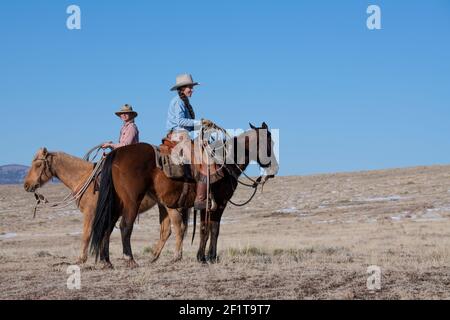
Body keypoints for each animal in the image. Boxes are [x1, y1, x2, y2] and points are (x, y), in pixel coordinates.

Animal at [24, 148, 160, 264]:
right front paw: (104, 260)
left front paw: (81, 259)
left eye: (38, 165)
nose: (26, 185)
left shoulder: (90, 213)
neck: (83, 178)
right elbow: (103, 234)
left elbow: (87, 234)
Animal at [90, 122, 280, 268]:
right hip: (131, 201)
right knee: (125, 226)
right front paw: (205, 257)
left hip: (116, 203)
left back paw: (107, 261)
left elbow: (210, 230)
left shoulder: (210, 206)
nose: (274, 170)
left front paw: (207, 257)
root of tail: (116, 153)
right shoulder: (216, 203)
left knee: (108, 226)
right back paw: (130, 260)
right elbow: (209, 229)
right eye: (268, 143)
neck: (225, 163)